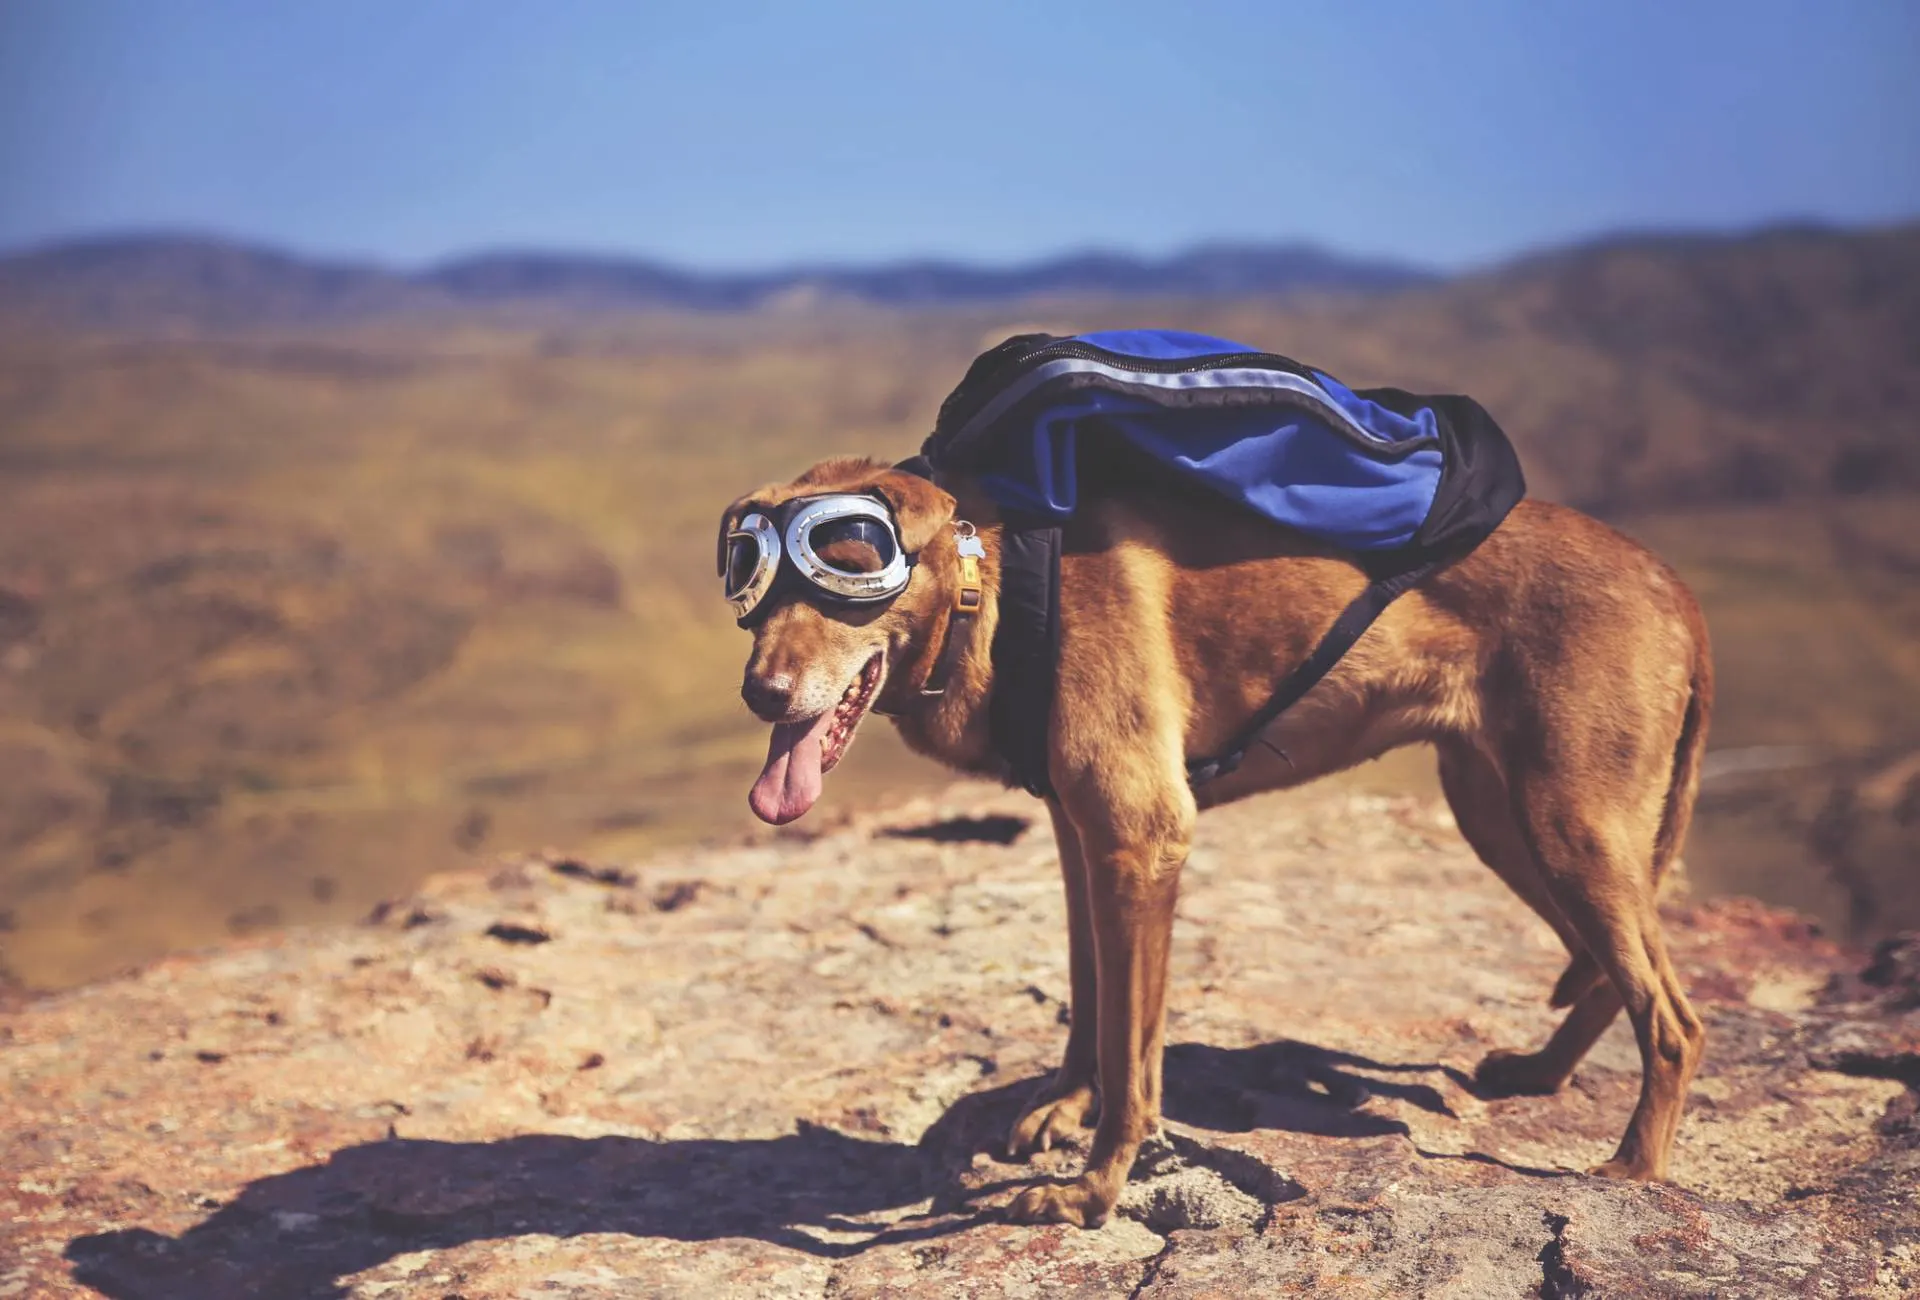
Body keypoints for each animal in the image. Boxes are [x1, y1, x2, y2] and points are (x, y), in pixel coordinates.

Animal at [721, 451, 1712, 1221]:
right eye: (751, 588)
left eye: (850, 564)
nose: (761, 694)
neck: (992, 590)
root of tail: (1676, 587)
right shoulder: (1082, 838)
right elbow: (1092, 999)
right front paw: (1066, 1105)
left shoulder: (1142, 840)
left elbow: (1135, 1058)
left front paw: (1093, 1192)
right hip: (1503, 815)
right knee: (1610, 972)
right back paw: (1542, 1074)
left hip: (1566, 822)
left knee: (1672, 1015)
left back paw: (1633, 1168)